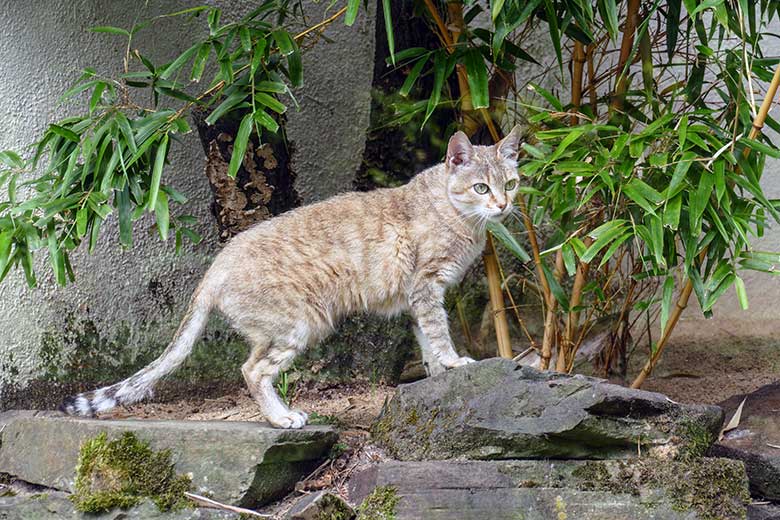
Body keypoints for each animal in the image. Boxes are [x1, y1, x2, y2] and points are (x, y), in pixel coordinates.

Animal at [61, 126, 524, 426]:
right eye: (481, 188)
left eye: (512, 184)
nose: (503, 206)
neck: (455, 213)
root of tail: (215, 268)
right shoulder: (427, 286)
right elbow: (439, 332)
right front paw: (455, 362)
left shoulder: (415, 297)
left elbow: (426, 342)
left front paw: (438, 372)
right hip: (300, 324)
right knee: (252, 371)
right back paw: (282, 418)